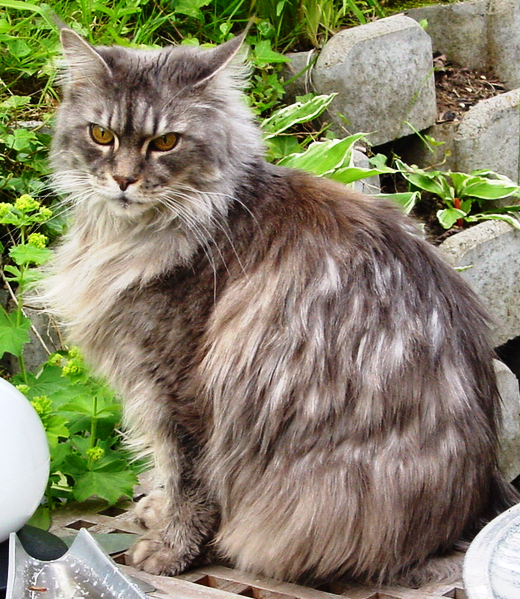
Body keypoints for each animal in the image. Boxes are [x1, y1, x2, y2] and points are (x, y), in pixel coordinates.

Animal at [42, 27, 516, 584]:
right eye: (101, 135)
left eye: (165, 143)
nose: (122, 181)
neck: (131, 237)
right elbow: (165, 468)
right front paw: (158, 513)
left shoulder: (178, 389)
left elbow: (188, 479)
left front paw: (172, 551)